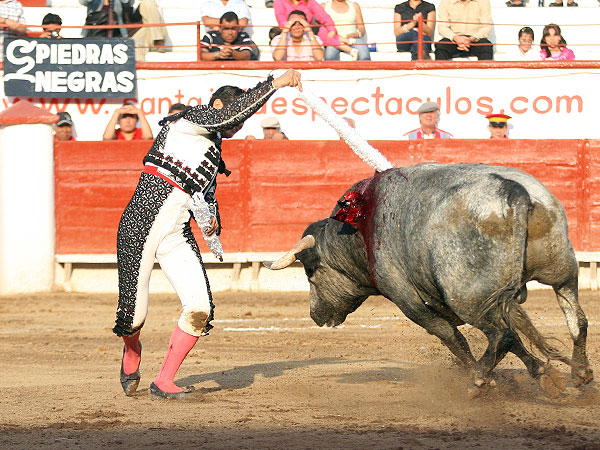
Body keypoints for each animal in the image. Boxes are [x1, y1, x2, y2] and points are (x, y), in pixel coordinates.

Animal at [268, 163, 596, 396]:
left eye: (309, 272)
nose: (315, 315)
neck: (359, 227)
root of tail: (514, 192)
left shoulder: (410, 302)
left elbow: (453, 338)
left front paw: (487, 377)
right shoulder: (501, 300)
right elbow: (519, 336)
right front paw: (543, 372)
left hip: (467, 298)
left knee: (500, 334)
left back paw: (478, 382)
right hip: (560, 270)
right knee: (575, 319)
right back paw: (580, 374)